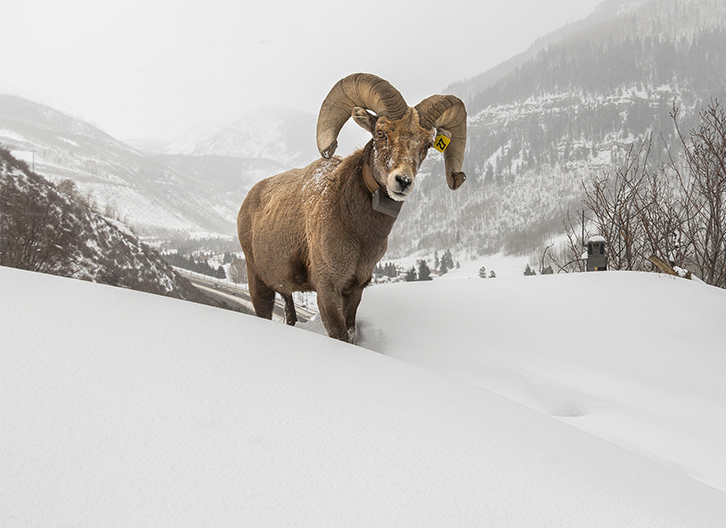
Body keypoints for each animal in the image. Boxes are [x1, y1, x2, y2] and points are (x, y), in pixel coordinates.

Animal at [239, 73, 466, 342]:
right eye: (380, 132)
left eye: (428, 145)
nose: (403, 181)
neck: (359, 232)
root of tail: (250, 197)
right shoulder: (327, 289)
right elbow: (340, 335)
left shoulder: (355, 290)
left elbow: (350, 332)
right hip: (258, 282)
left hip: (284, 290)